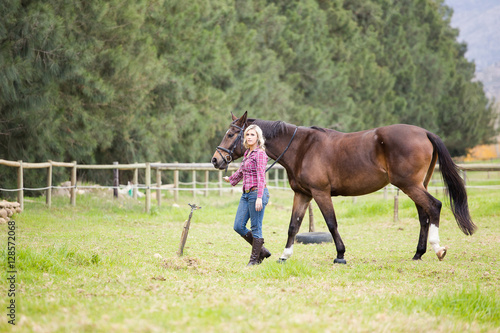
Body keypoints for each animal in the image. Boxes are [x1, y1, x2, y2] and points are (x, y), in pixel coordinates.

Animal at [211, 113, 476, 264]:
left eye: (231, 134)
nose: (216, 160)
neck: (302, 148)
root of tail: (425, 133)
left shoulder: (320, 193)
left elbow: (331, 223)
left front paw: (340, 255)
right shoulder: (303, 194)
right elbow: (293, 226)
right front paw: (285, 255)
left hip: (410, 185)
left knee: (434, 206)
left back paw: (437, 249)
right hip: (416, 185)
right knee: (424, 215)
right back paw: (418, 253)